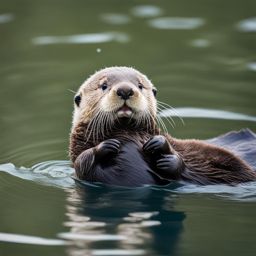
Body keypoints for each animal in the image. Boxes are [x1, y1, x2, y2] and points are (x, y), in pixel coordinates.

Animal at [69, 66, 255, 186]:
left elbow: (179, 161)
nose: (125, 90)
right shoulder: (79, 153)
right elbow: (82, 163)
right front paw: (106, 145)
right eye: (103, 86)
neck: (125, 133)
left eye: (140, 85)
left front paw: (159, 145)